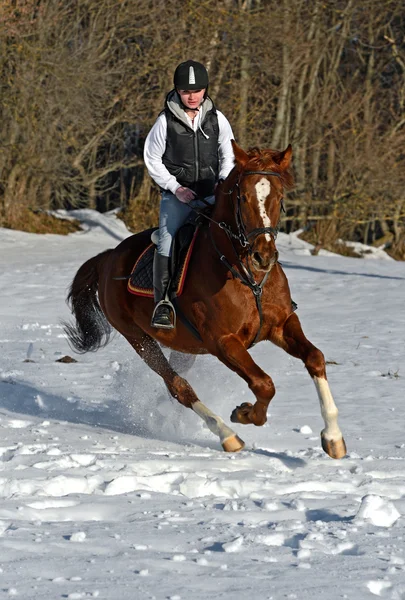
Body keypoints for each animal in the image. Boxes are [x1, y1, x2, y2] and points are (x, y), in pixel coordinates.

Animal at [64, 142, 346, 460]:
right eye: (243, 196)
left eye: (279, 196)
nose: (262, 257)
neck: (247, 278)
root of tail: (108, 258)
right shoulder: (222, 341)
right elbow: (264, 384)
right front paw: (244, 413)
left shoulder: (282, 325)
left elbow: (315, 358)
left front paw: (333, 438)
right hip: (139, 338)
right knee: (179, 386)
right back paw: (227, 434)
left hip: (185, 347)